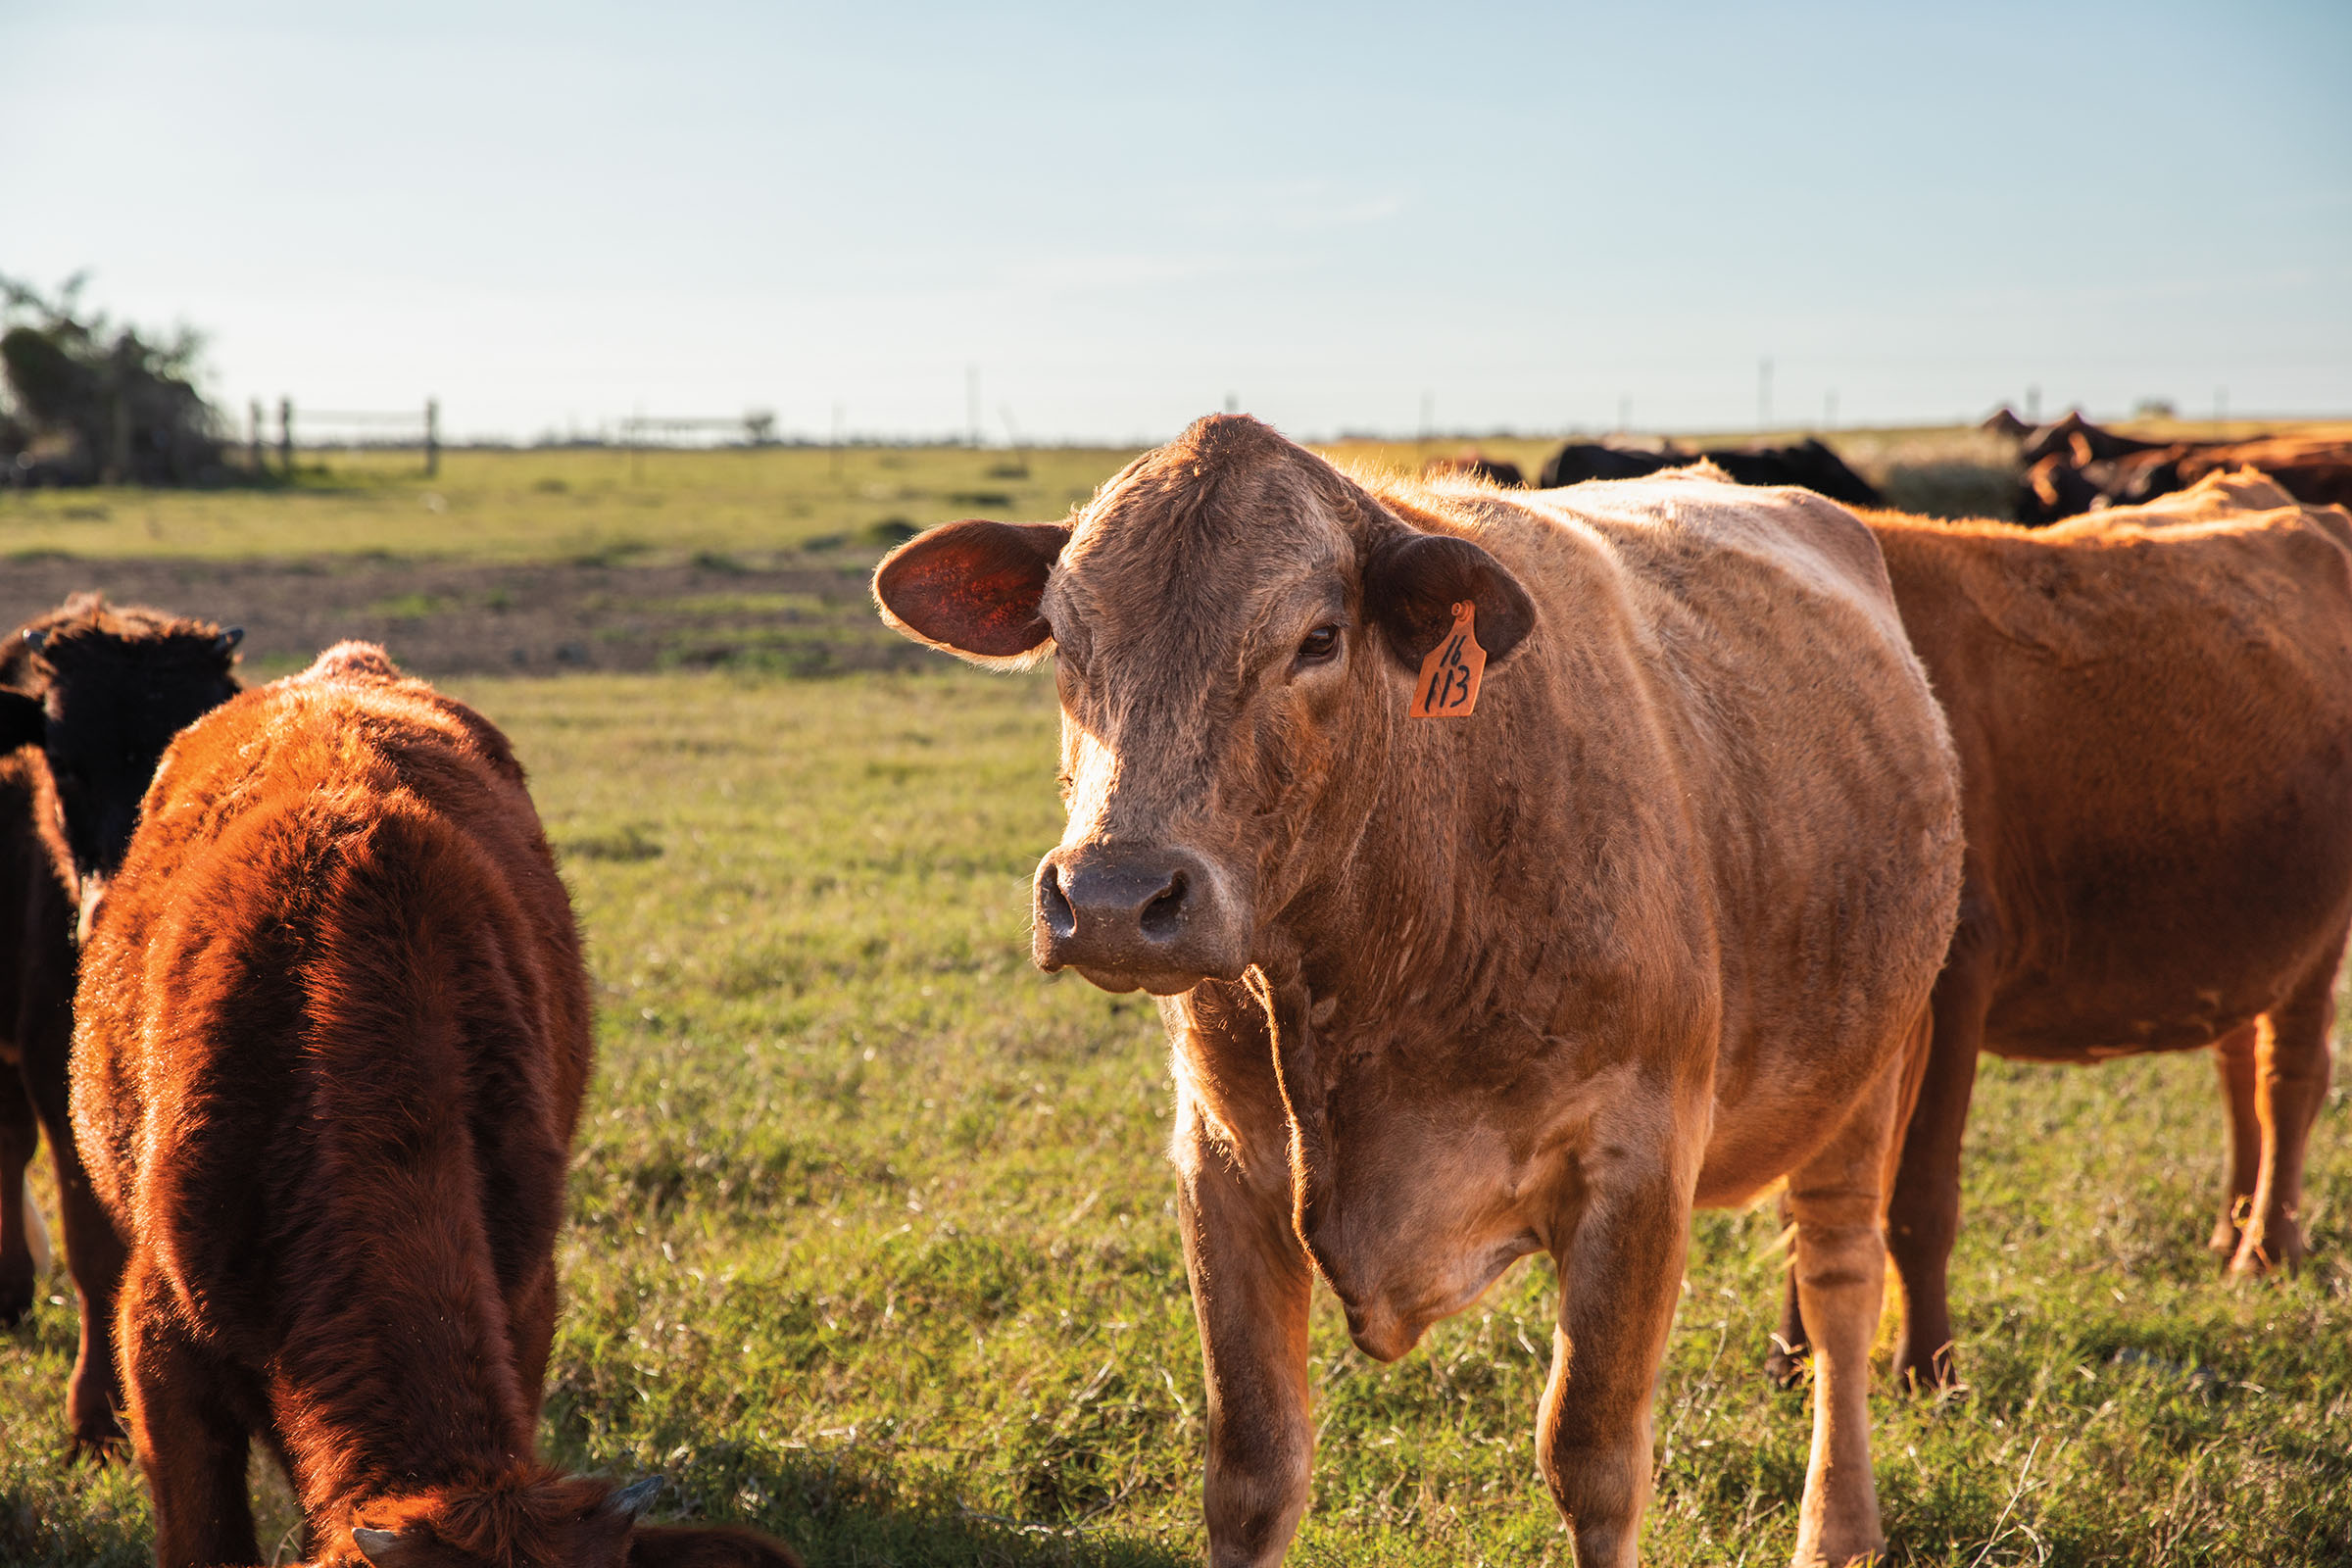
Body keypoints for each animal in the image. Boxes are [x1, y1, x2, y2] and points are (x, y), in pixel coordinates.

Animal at [874, 416, 1956, 1568]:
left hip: (1870, 1068)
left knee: (1839, 1283)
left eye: (1318, 638)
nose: (1114, 896)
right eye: (1067, 640)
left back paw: (1839, 1528)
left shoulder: (1640, 1161)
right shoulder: (1219, 1161)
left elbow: (1595, 1458)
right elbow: (1253, 1465)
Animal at [1768, 472, 2352, 1392]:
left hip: (2320, 930)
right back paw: (2228, 1229)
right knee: (2236, 1065)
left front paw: (1927, 1368)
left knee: (2288, 1077)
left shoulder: (1958, 975)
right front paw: (1796, 1364)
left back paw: (2265, 1251)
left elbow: (1920, 1195)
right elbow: (1810, 1206)